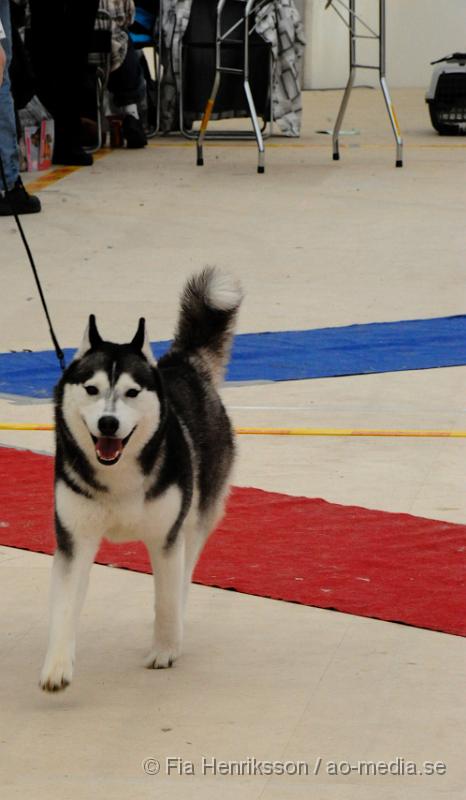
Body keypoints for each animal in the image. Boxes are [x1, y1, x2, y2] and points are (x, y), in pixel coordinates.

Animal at [39, 266, 242, 692]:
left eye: (132, 392)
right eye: (92, 389)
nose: (108, 423)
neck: (118, 475)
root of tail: (183, 364)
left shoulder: (166, 537)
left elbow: (166, 598)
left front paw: (165, 648)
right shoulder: (74, 538)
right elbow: (64, 606)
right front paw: (57, 666)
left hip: (197, 517)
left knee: (185, 573)